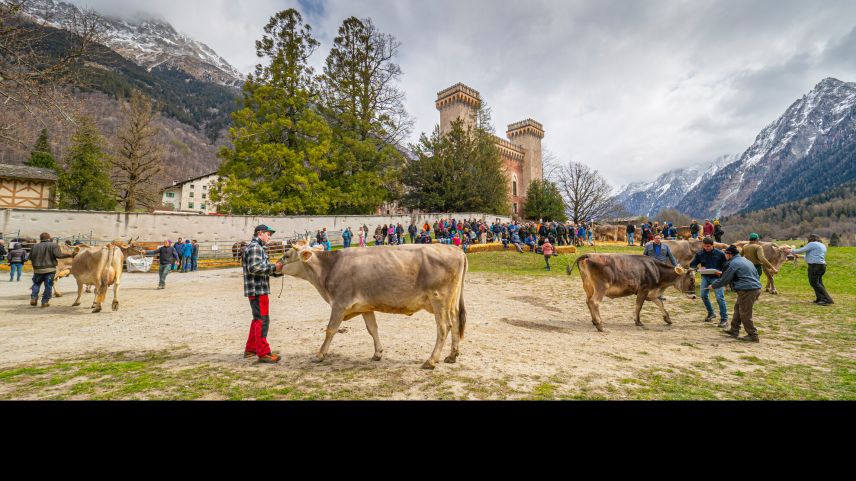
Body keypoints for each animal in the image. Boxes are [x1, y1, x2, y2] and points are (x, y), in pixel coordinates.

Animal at [280, 242, 468, 370]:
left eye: (287, 255)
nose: (275, 267)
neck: (330, 267)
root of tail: (455, 249)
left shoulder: (340, 304)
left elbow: (331, 329)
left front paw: (319, 355)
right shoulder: (365, 307)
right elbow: (372, 329)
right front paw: (377, 353)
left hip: (438, 299)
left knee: (444, 327)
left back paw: (431, 361)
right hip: (451, 301)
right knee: (456, 323)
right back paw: (452, 356)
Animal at [568, 253, 696, 332]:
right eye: (691, 279)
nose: (694, 295)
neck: (657, 270)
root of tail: (589, 255)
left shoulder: (652, 293)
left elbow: (660, 304)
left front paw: (667, 319)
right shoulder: (643, 290)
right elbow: (639, 306)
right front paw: (638, 321)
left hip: (588, 286)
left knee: (588, 301)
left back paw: (594, 321)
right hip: (601, 287)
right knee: (594, 302)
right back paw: (599, 325)